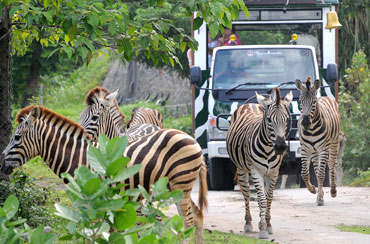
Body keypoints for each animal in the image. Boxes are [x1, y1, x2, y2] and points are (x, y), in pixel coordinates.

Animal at [0, 106, 207, 244]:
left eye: (16, 138)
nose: (1, 163)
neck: (79, 157)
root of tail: (193, 140)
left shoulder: (95, 199)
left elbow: (96, 233)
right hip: (176, 187)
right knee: (197, 217)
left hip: (180, 184)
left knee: (187, 221)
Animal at [225, 87, 292, 238]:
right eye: (269, 119)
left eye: (286, 119)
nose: (280, 147)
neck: (268, 148)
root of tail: (251, 104)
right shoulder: (256, 172)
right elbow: (261, 199)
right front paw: (262, 229)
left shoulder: (273, 173)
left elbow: (269, 198)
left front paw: (268, 224)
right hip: (242, 169)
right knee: (246, 194)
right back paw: (248, 223)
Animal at [294, 76, 342, 206]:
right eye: (300, 101)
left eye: (313, 102)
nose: (305, 123)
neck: (311, 130)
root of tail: (325, 96)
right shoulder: (304, 149)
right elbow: (305, 173)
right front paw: (313, 190)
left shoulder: (323, 148)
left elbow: (321, 174)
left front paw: (320, 198)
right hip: (314, 151)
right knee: (316, 168)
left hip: (333, 143)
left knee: (331, 164)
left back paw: (333, 190)